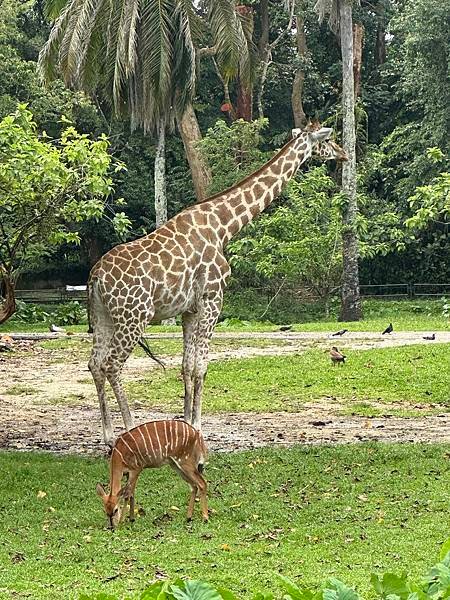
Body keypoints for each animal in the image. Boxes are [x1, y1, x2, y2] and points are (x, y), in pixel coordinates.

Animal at [89, 125, 348, 446]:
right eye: (328, 139)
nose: (344, 154)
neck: (223, 227)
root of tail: (96, 277)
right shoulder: (213, 298)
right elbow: (201, 366)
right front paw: (198, 427)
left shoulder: (189, 309)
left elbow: (187, 366)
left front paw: (187, 423)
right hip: (134, 316)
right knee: (112, 364)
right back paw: (129, 428)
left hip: (104, 316)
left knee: (95, 364)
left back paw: (109, 435)